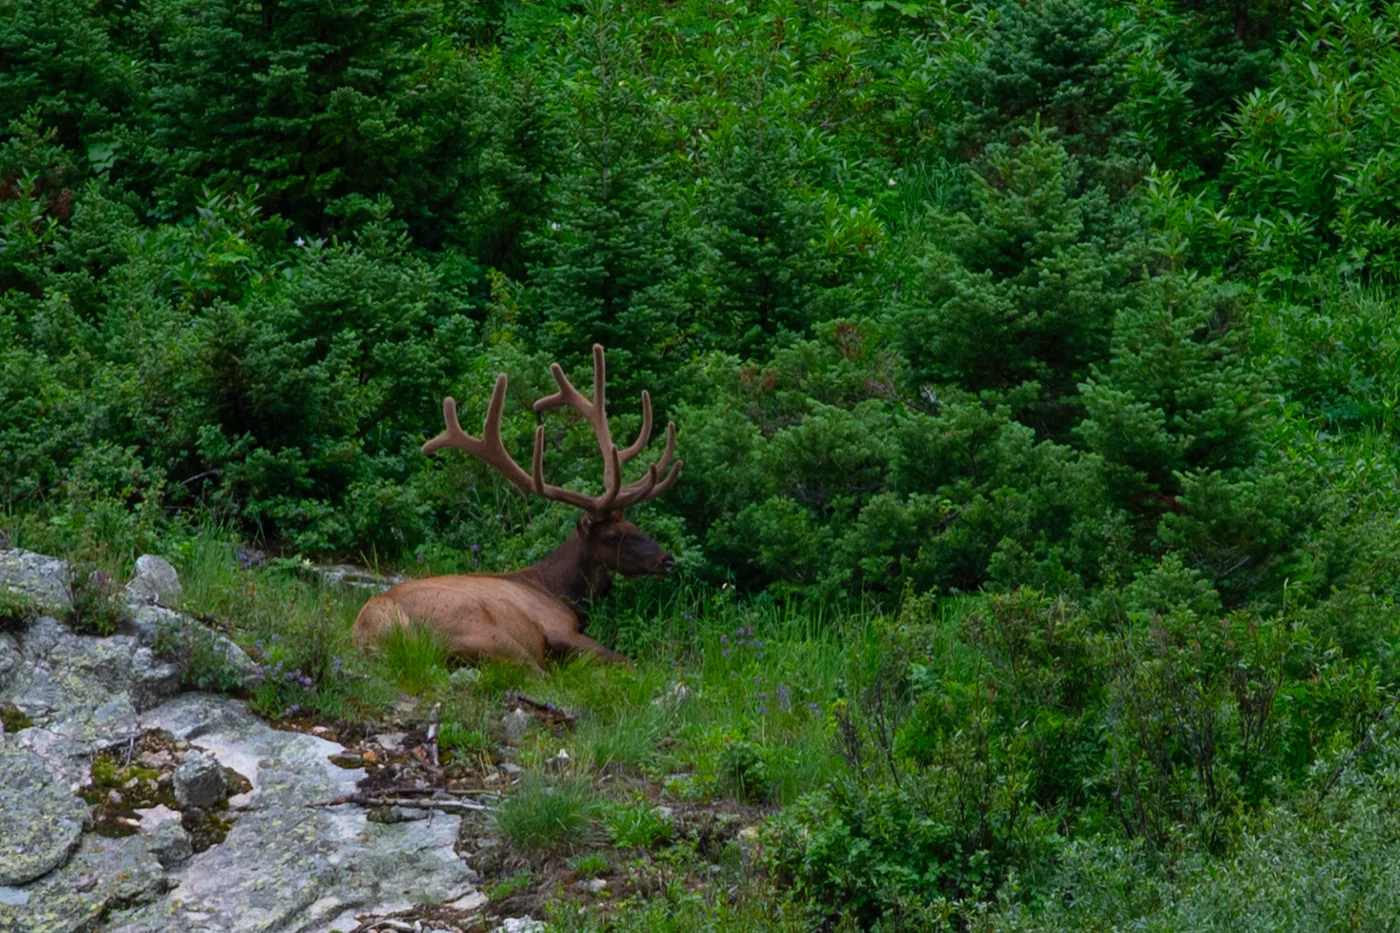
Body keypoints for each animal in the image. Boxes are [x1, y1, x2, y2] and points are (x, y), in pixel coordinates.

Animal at [352, 345, 682, 670]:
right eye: (613, 536)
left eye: (635, 526)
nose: (667, 560)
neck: (560, 591)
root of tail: (376, 628)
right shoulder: (558, 627)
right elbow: (628, 661)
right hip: (484, 631)